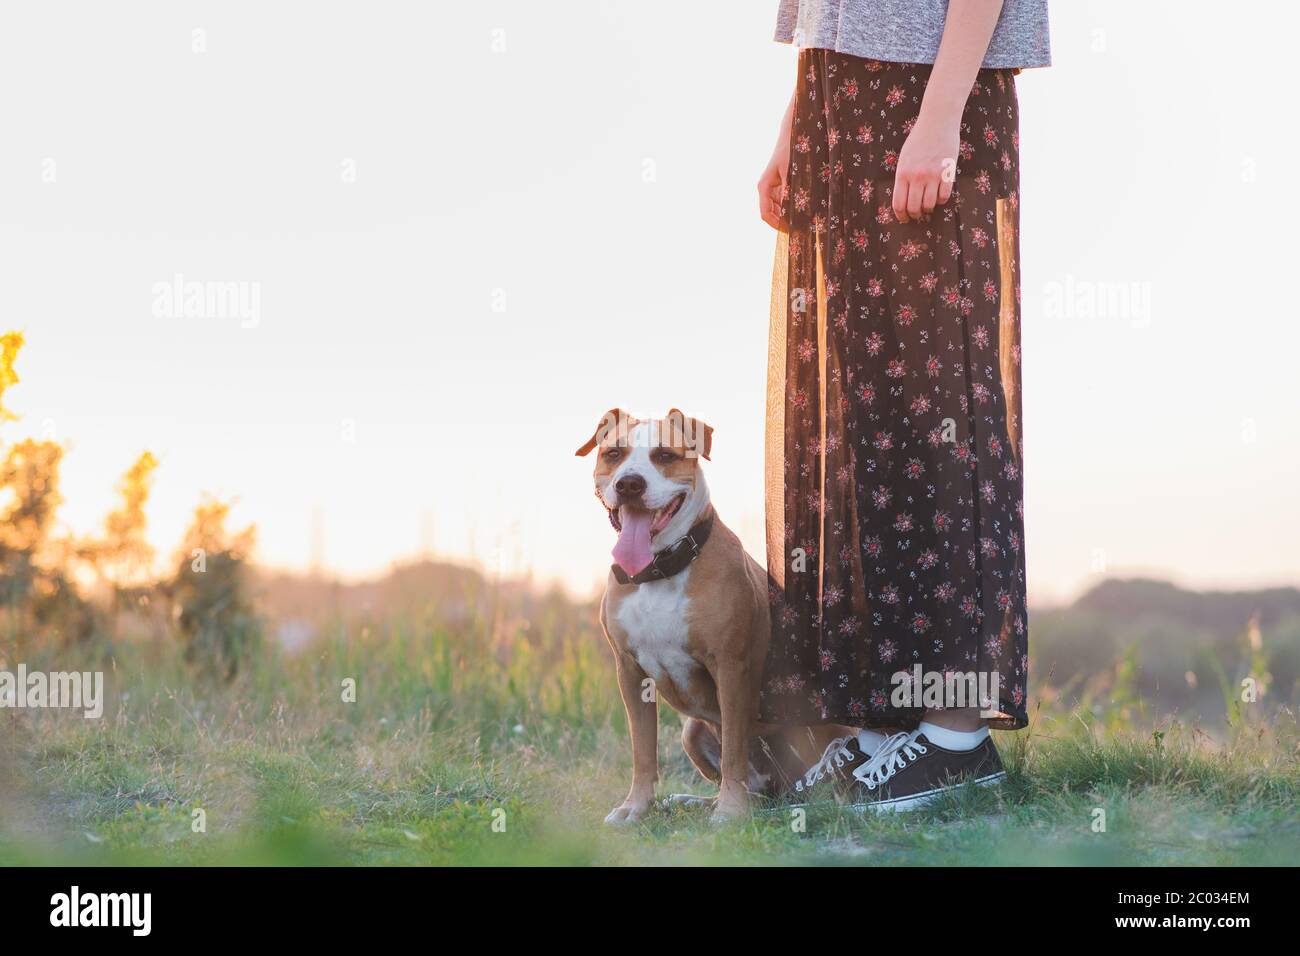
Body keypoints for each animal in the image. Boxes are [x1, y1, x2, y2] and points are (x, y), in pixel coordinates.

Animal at [582, 405, 852, 822]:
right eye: (614, 454)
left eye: (665, 455)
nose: (629, 484)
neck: (660, 570)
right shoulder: (629, 671)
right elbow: (642, 751)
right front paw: (635, 807)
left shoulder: (730, 667)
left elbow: (734, 753)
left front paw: (730, 810)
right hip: (692, 731)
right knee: (758, 787)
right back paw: (694, 800)